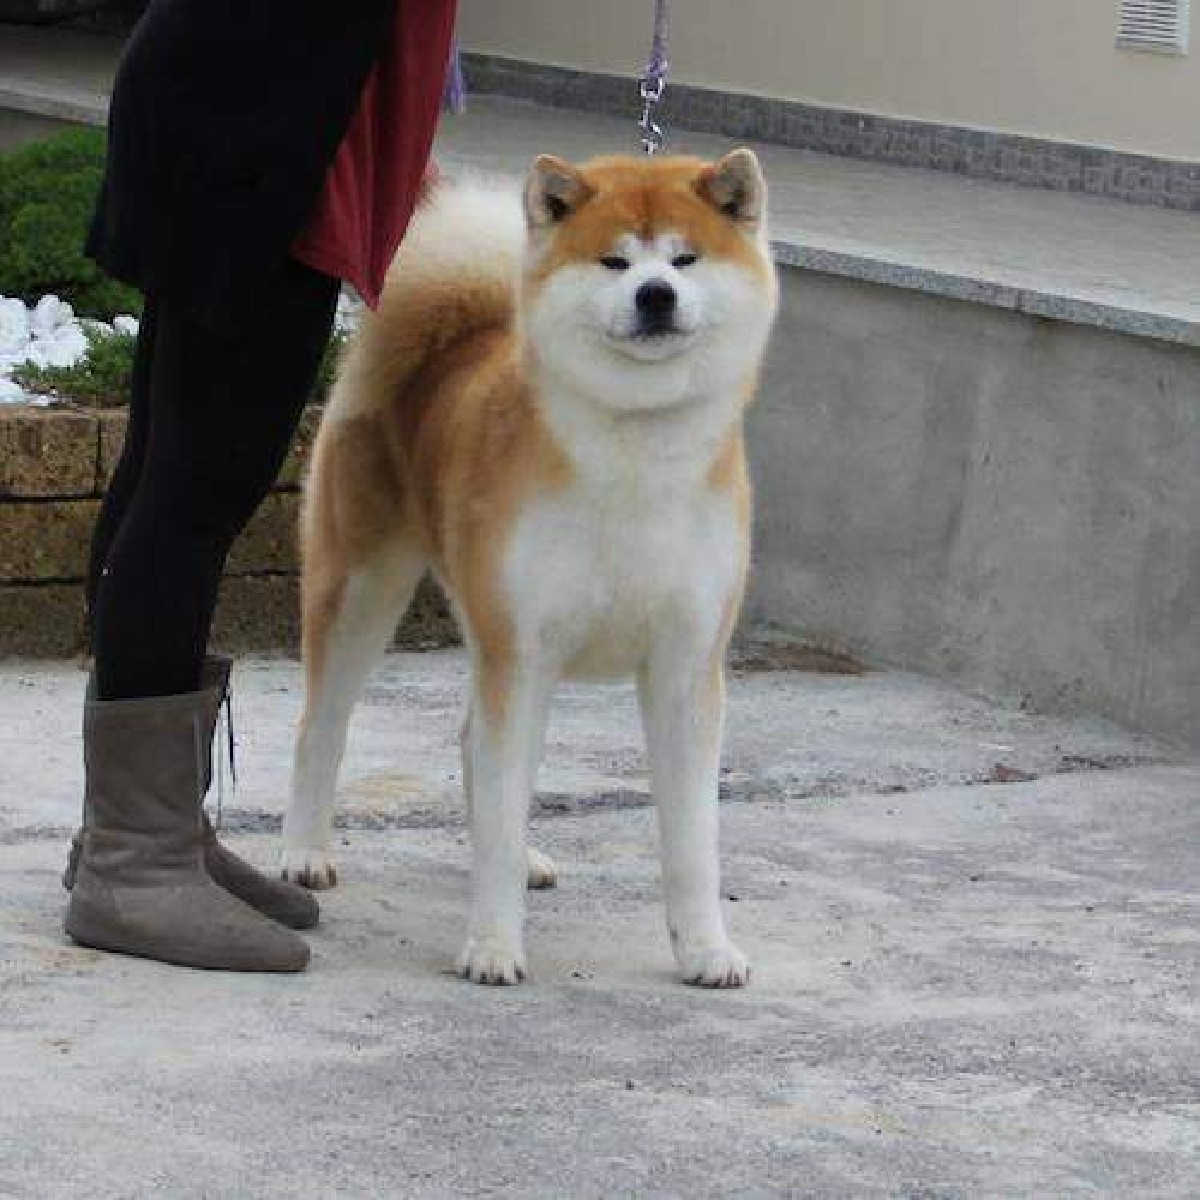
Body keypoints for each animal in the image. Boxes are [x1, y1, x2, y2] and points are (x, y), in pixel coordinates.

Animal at [281, 149, 778, 986]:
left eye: (685, 259)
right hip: (363, 588)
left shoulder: (685, 664)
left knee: (466, 743)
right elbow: (502, 809)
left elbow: (692, 841)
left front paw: (706, 949)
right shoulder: (523, 651)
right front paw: (492, 946)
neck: (634, 450)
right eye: (615, 261)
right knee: (322, 727)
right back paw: (303, 851)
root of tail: (453, 337)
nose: (655, 294)